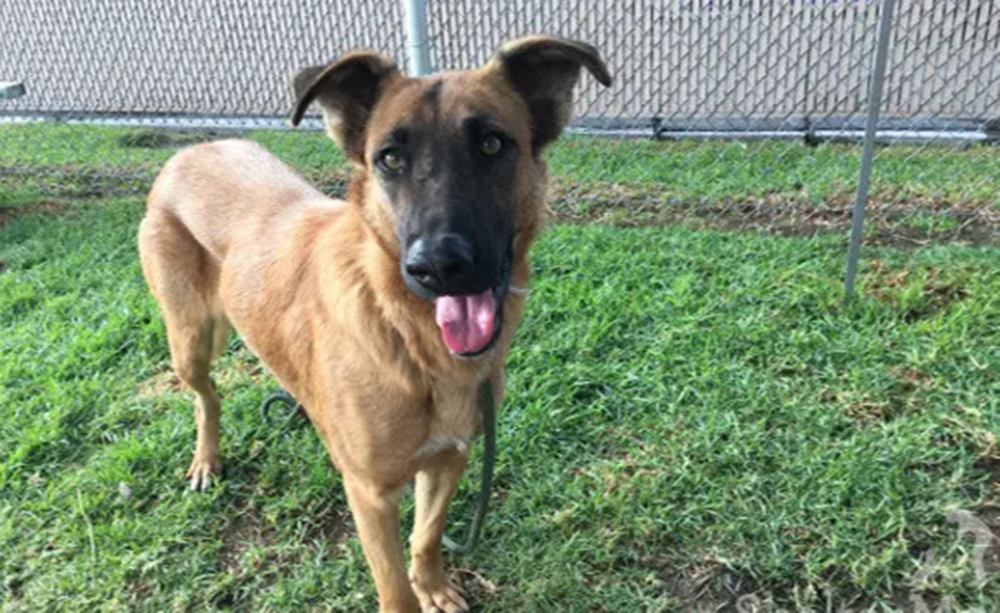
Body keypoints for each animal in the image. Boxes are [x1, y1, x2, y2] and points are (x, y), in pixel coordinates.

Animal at [138, 36, 610, 612]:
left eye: (492, 145)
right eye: (389, 158)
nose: (437, 267)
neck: (410, 338)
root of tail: (191, 151)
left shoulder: (449, 457)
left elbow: (426, 535)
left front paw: (432, 587)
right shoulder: (371, 494)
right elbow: (393, 588)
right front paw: (414, 592)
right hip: (189, 339)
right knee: (206, 397)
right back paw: (207, 459)